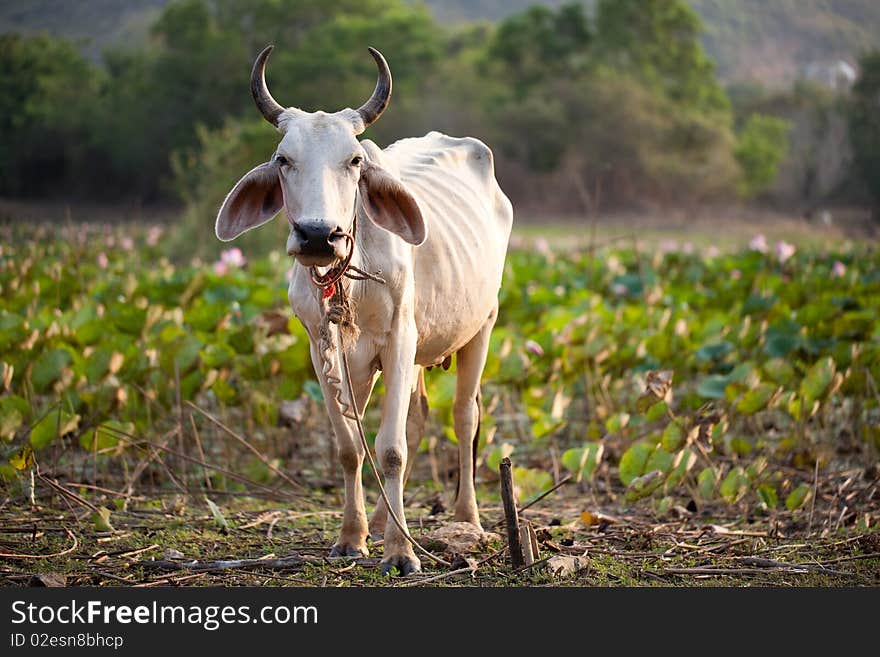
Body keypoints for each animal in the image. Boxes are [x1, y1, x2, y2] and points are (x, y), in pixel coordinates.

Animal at [216, 46, 512, 572]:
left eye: (354, 160)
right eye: (283, 159)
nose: (318, 235)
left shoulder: (399, 340)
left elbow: (390, 449)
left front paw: (400, 553)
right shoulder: (323, 350)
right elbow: (350, 448)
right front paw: (353, 537)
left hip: (482, 325)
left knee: (463, 416)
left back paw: (467, 519)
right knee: (417, 418)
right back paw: (380, 520)